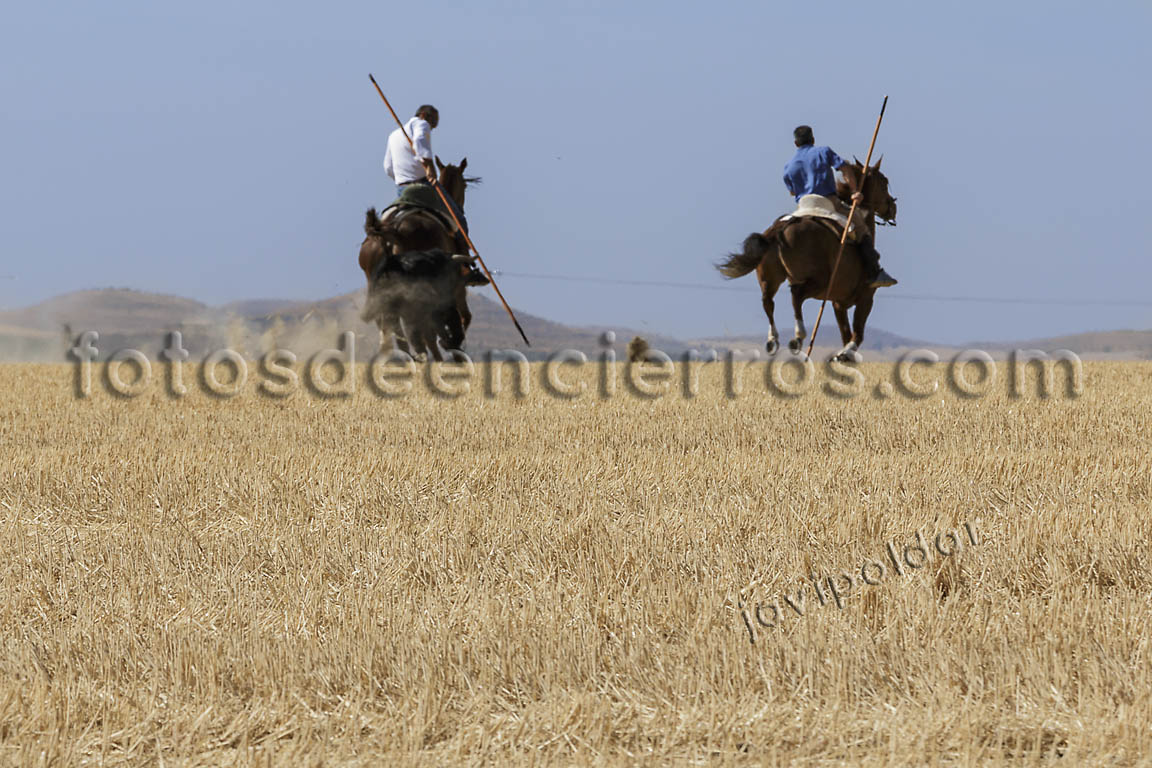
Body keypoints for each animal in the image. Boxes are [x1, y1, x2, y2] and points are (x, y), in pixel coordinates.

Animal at [715, 160, 898, 361]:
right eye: (884, 182)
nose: (893, 207)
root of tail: (778, 229)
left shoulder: (837, 303)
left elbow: (845, 332)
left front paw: (842, 355)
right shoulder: (865, 298)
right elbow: (857, 333)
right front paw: (846, 353)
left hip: (770, 279)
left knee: (768, 301)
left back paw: (773, 340)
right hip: (817, 282)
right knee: (796, 295)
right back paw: (798, 336)